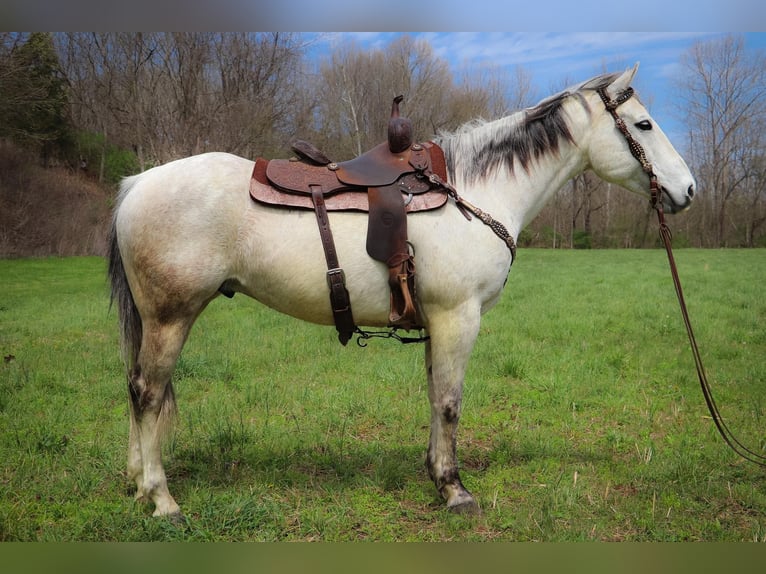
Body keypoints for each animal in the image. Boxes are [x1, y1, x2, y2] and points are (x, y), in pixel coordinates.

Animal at [109, 62, 704, 516]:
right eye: (644, 124)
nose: (689, 190)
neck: (473, 190)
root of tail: (137, 183)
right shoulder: (458, 317)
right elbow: (450, 402)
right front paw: (455, 490)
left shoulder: (437, 322)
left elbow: (434, 397)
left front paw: (435, 473)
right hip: (170, 316)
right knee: (147, 392)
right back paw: (161, 499)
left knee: (138, 391)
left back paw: (138, 481)